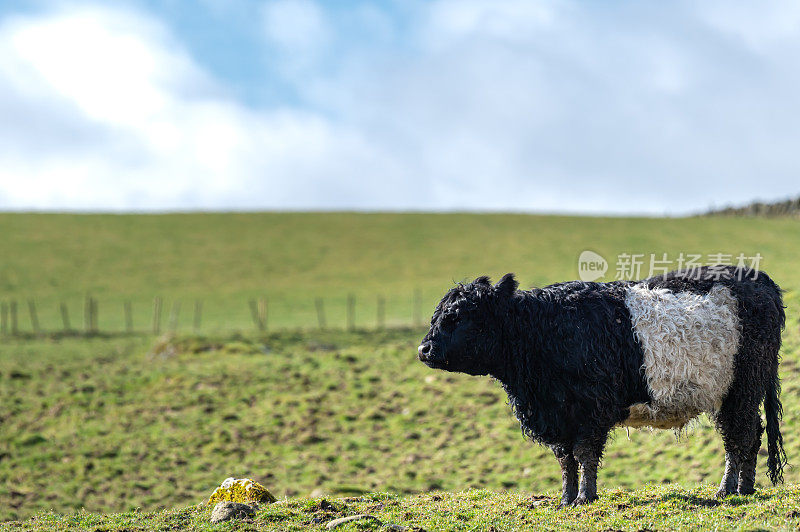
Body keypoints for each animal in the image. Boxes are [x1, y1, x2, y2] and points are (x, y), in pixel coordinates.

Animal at [418, 266, 788, 508]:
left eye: (459, 316)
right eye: (436, 316)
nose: (424, 349)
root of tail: (760, 279)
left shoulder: (590, 408)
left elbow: (584, 454)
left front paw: (585, 497)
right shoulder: (558, 414)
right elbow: (565, 459)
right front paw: (565, 499)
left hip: (741, 386)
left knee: (739, 437)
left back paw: (727, 490)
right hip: (739, 391)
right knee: (752, 434)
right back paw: (745, 488)